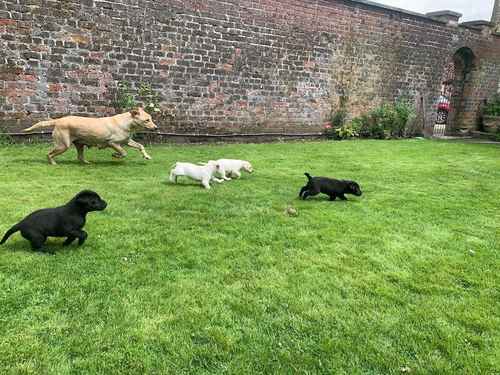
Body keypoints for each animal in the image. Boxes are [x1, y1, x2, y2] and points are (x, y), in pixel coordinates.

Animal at [22, 108, 156, 165]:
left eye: (151, 118)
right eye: (147, 120)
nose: (155, 128)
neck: (126, 122)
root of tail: (58, 120)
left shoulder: (127, 141)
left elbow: (140, 146)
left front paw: (147, 156)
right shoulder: (112, 143)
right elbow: (123, 152)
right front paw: (115, 155)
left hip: (79, 144)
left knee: (80, 157)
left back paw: (87, 162)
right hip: (63, 145)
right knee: (49, 154)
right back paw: (53, 163)